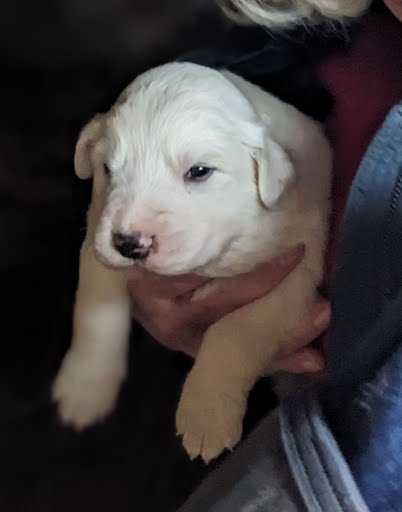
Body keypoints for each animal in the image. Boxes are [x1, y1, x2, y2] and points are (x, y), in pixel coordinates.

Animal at [51, 62, 332, 462]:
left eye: (199, 171)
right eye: (107, 169)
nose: (129, 244)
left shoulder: (294, 270)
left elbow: (234, 330)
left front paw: (206, 416)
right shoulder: (97, 237)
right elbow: (96, 313)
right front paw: (85, 388)